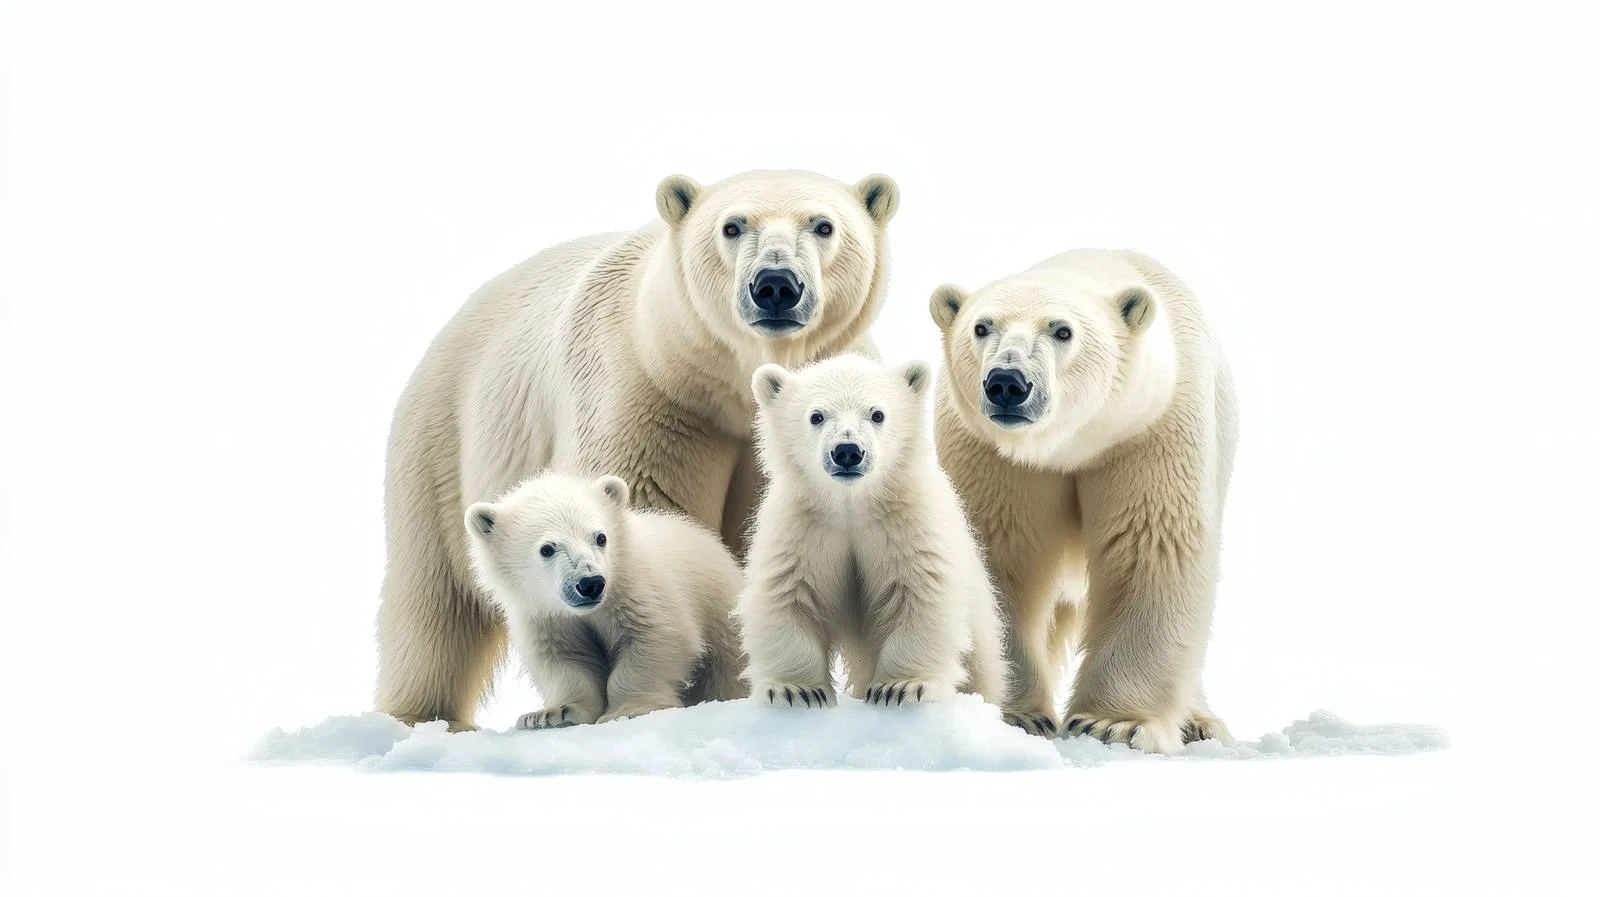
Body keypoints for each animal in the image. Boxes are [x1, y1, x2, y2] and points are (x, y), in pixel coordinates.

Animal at [463, 471, 747, 727]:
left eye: (600, 537)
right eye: (547, 548)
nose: (590, 584)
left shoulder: (636, 593)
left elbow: (655, 638)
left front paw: (629, 709)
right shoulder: (545, 615)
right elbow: (563, 658)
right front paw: (553, 714)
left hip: (723, 618)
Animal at [736, 354, 1007, 709]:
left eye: (877, 414)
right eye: (816, 415)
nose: (847, 451)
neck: (853, 505)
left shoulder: (906, 524)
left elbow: (920, 592)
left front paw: (903, 686)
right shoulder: (804, 527)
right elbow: (787, 594)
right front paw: (796, 690)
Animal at [929, 248, 1236, 754]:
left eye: (1062, 330)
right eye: (981, 326)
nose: (1007, 382)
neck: (1068, 446)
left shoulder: (1150, 429)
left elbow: (1151, 548)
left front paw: (1115, 724)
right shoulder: (991, 453)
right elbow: (998, 556)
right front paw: (1014, 715)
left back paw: (1200, 722)